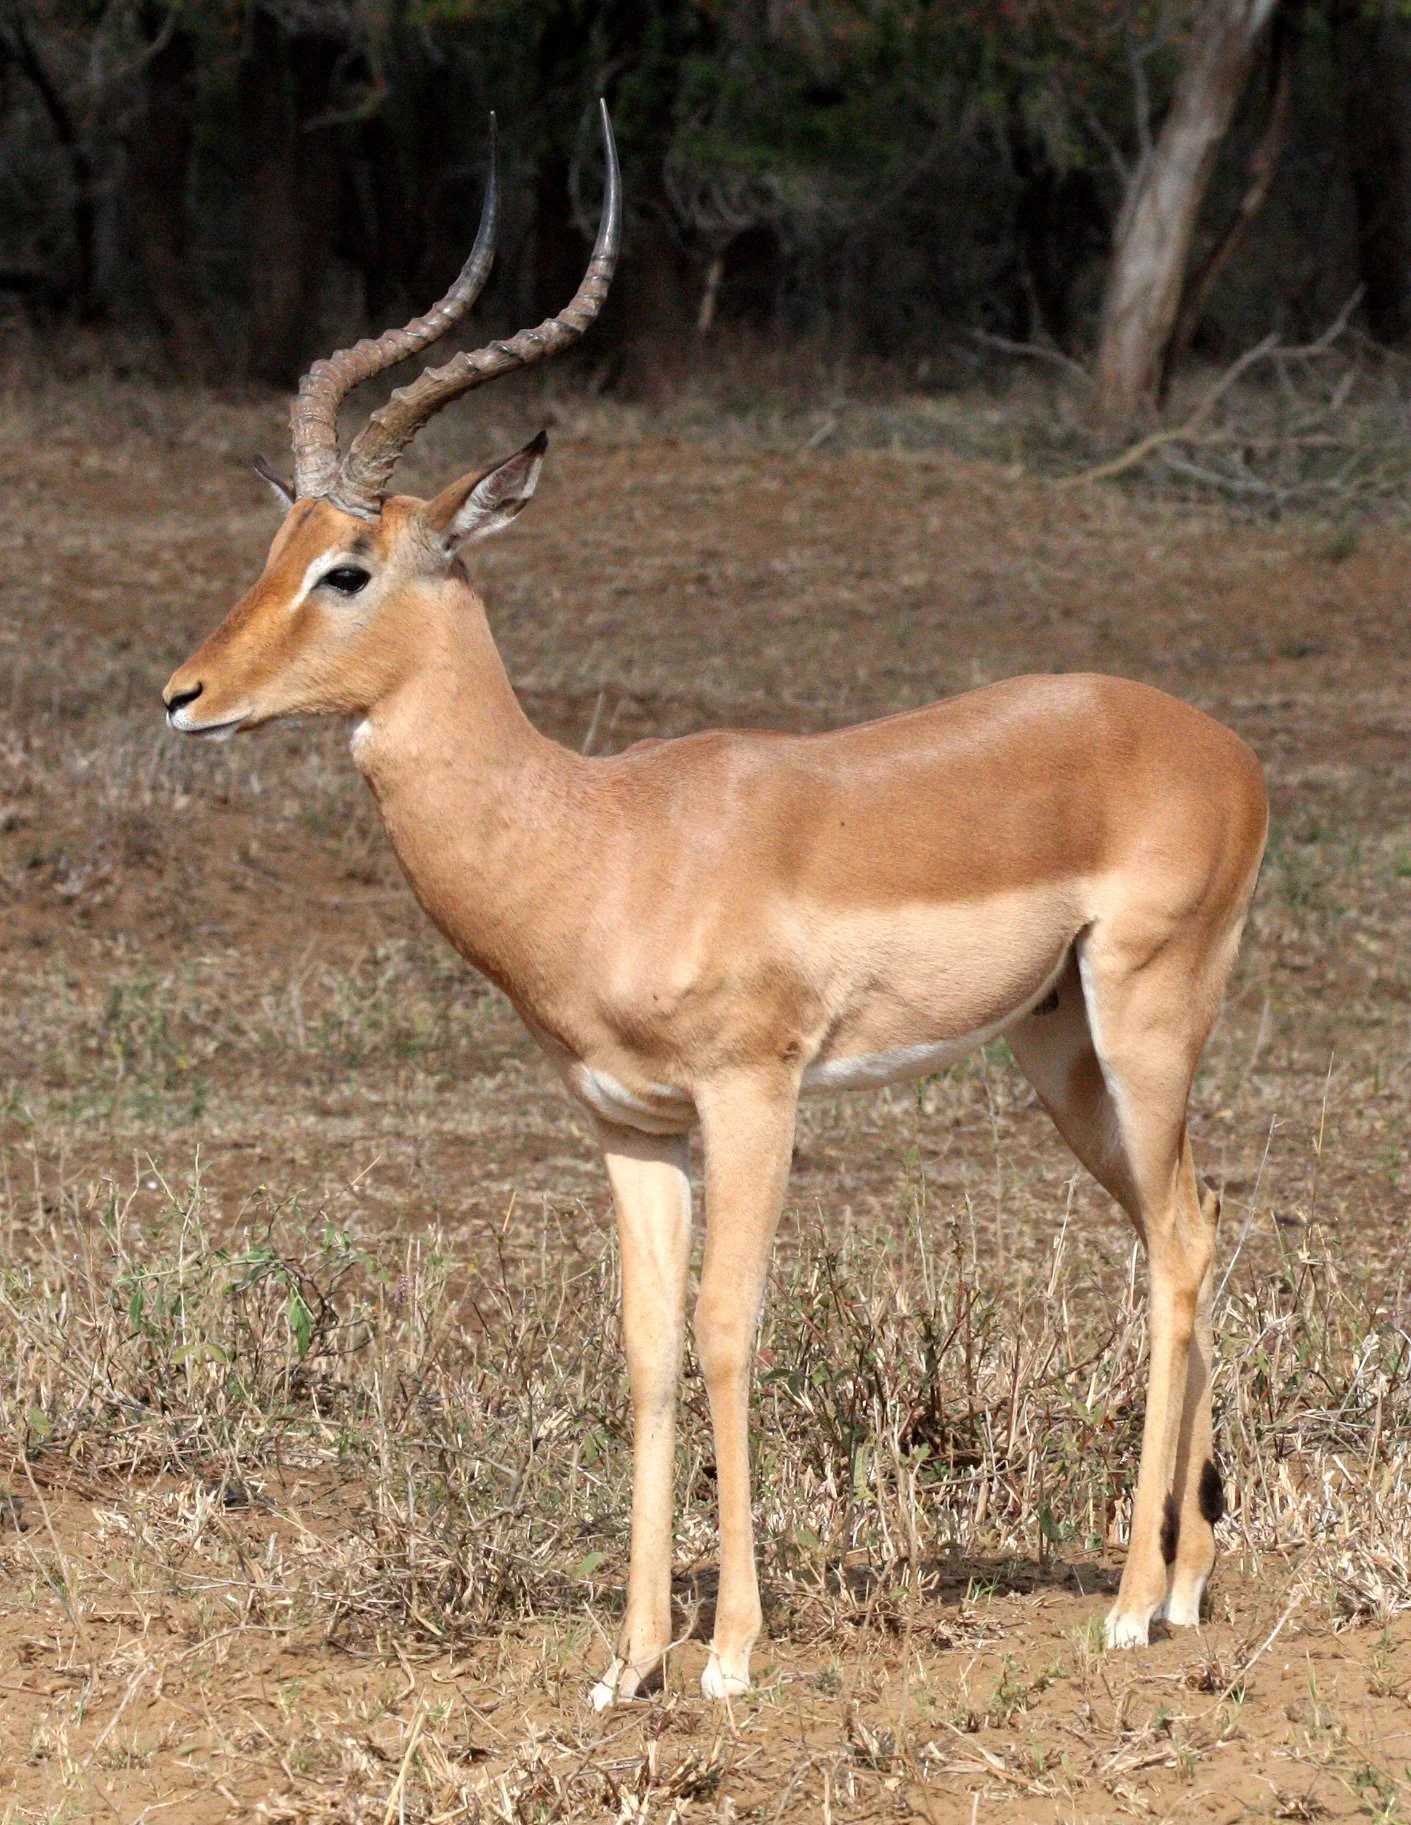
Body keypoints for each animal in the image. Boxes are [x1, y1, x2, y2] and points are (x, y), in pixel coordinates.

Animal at [164, 104, 1268, 1706]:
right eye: (274, 549)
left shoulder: (754, 1095)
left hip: (1142, 1023)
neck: (604, 836)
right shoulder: (628, 1128)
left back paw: (1128, 1605)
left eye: (348, 568)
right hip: (1061, 1055)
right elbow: (642, 1348)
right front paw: (629, 1659)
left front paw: (733, 1651)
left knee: (1180, 1244)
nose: (183, 695)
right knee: (1185, 1223)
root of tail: (1223, 748)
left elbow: (729, 1328)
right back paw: (1182, 1586)